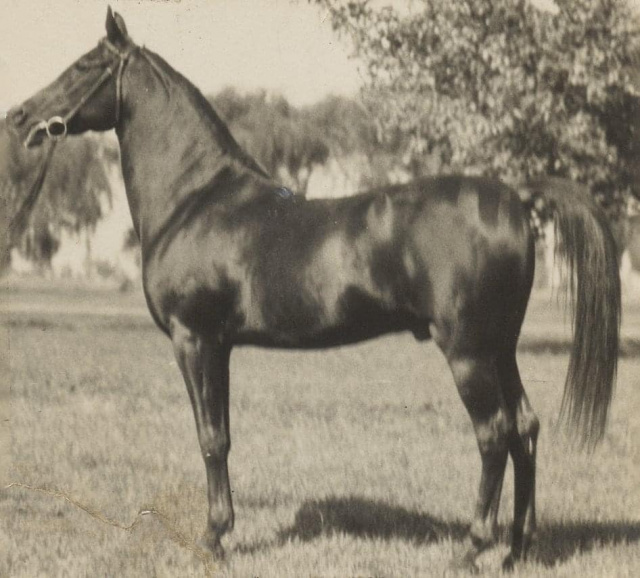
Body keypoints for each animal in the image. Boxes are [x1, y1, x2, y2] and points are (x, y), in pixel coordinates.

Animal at [7, 9, 620, 572]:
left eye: (84, 65)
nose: (19, 115)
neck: (196, 199)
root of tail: (515, 195)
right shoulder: (220, 346)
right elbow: (224, 434)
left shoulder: (194, 340)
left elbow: (210, 438)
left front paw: (213, 539)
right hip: (501, 348)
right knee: (525, 429)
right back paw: (517, 548)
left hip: (468, 351)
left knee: (494, 434)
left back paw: (471, 549)